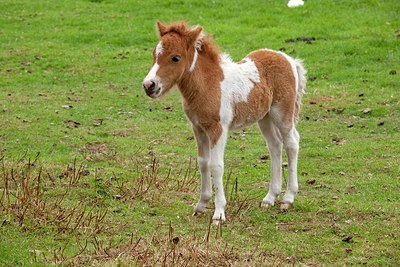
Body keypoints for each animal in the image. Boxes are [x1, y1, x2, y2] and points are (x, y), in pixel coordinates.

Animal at [142, 22, 308, 225]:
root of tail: (288, 59)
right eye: (154, 54)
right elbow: (203, 162)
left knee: (292, 143)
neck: (208, 85)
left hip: (282, 113)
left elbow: (216, 166)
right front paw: (201, 205)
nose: (149, 85)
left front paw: (219, 213)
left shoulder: (218, 129)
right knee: (275, 145)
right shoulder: (198, 128)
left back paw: (287, 198)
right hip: (265, 117)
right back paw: (270, 198)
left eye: (175, 58)